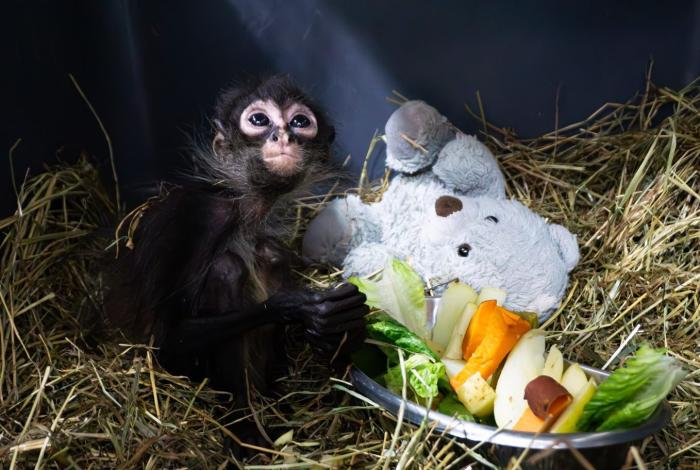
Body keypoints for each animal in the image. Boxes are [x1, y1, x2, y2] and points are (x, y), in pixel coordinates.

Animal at [104, 76, 369, 437]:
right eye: (259, 120)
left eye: (300, 122)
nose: (283, 135)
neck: (242, 210)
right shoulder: (191, 214)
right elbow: (166, 340)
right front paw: (297, 306)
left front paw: (342, 324)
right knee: (227, 267)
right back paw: (244, 428)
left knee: (270, 255)